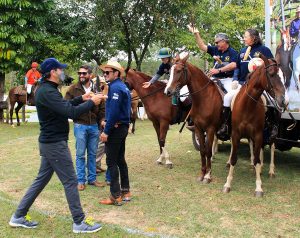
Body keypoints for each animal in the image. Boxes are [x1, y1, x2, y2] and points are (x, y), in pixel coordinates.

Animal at [164, 52, 223, 182]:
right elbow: (203, 151)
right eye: (170, 71)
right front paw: (202, 174)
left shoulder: (210, 129)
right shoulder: (199, 128)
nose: (168, 91)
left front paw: (208, 175)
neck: (204, 99)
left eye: (179, 70)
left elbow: (208, 151)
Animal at [223, 54, 286, 197]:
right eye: (271, 74)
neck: (247, 105)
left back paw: (270, 170)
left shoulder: (258, 134)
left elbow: (257, 159)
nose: (283, 101)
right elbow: (234, 157)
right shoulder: (236, 133)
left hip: (270, 133)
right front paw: (227, 184)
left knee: (272, 146)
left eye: (283, 75)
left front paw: (258, 187)